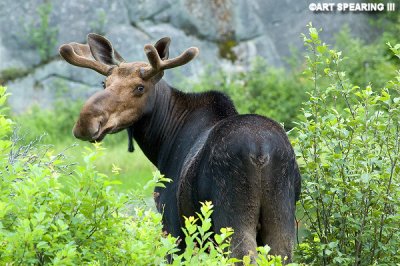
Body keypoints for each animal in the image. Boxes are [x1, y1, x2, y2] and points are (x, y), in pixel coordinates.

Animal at [58, 33, 300, 262]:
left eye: (140, 88)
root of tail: (260, 150)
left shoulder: (172, 223)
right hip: (281, 217)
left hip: (231, 218)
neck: (161, 143)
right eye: (104, 84)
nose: (86, 121)